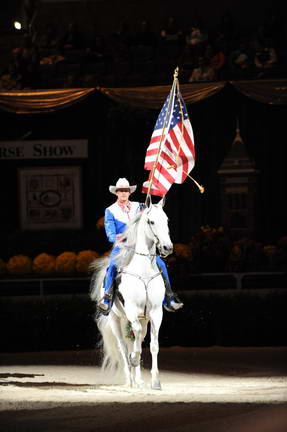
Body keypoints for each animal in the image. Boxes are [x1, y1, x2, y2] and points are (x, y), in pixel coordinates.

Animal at [90, 197, 173, 390]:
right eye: (151, 221)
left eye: (166, 220)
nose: (167, 247)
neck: (143, 270)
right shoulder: (132, 310)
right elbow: (133, 347)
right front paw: (133, 359)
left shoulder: (156, 312)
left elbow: (153, 345)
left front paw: (155, 381)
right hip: (116, 319)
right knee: (123, 345)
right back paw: (130, 379)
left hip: (142, 319)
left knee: (136, 340)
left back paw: (139, 380)